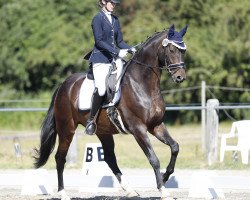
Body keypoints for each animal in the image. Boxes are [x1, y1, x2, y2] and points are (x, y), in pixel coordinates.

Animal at [34, 25, 188, 200]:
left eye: (183, 51)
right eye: (171, 49)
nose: (180, 77)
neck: (141, 83)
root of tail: (63, 85)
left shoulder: (156, 125)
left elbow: (175, 147)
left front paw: (165, 176)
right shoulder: (138, 129)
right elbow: (153, 159)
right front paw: (163, 190)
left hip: (103, 131)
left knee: (109, 158)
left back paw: (130, 190)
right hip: (67, 129)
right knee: (60, 157)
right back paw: (63, 193)